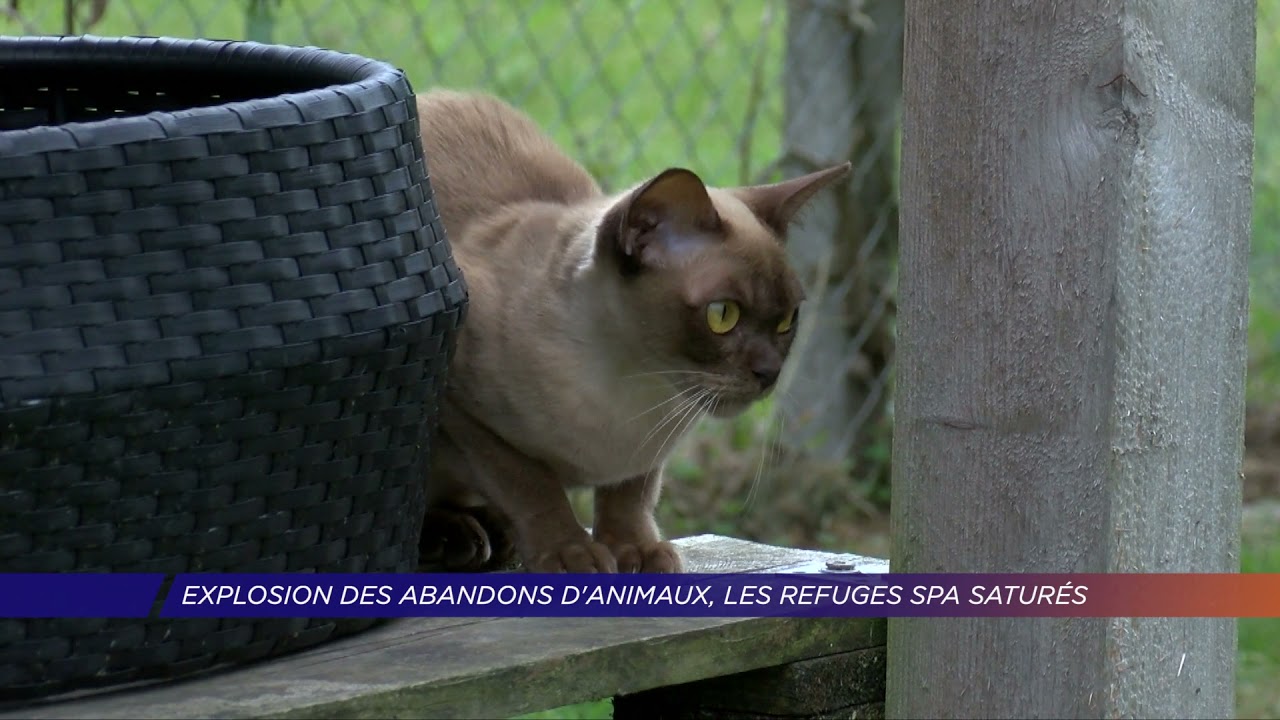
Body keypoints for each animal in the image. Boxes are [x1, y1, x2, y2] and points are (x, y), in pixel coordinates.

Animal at [412, 89, 849, 571]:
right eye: (723, 315)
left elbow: (631, 493)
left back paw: (493, 533)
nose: (769, 373)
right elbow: (531, 485)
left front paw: (637, 553)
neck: (635, 386)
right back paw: (457, 537)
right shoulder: (465, 414)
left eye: (788, 320)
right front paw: (571, 553)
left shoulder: (647, 453)